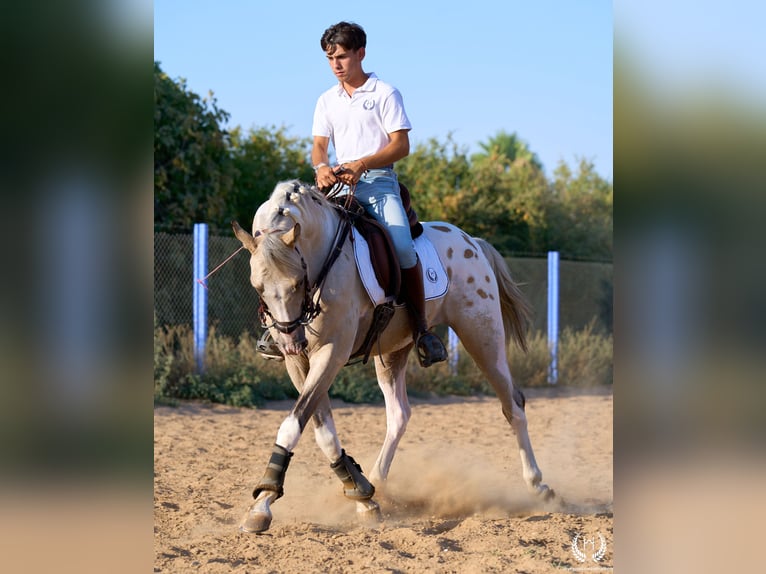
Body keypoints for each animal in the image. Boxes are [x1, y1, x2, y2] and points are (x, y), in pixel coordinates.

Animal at [232, 180, 554, 533]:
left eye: (298, 281)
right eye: (258, 287)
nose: (290, 340)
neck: (324, 257)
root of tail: (473, 243)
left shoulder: (331, 352)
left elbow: (293, 423)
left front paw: (263, 503)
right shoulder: (299, 363)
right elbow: (321, 429)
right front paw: (359, 493)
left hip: (482, 336)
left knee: (513, 404)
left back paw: (538, 484)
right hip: (394, 349)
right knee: (399, 414)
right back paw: (378, 483)